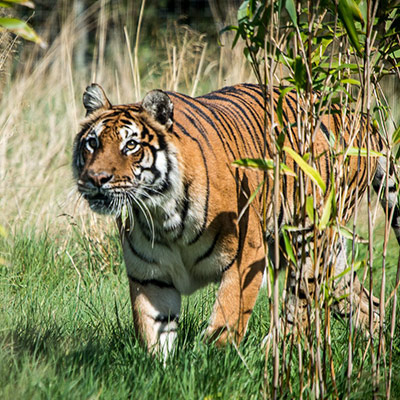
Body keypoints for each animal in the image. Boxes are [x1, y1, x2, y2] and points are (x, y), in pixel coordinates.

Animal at [72, 82, 400, 356]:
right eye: (93, 143)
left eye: (131, 145)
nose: (96, 179)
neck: (160, 212)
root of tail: (360, 117)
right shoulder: (150, 276)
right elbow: (153, 330)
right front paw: (160, 369)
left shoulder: (245, 260)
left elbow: (227, 320)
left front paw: (211, 363)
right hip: (334, 261)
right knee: (367, 303)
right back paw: (377, 354)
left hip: (311, 240)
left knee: (299, 309)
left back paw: (273, 352)